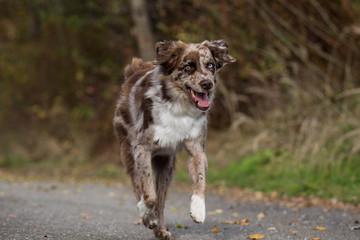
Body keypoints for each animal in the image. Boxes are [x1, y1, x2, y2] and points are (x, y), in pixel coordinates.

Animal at [114, 39, 235, 238]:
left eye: (210, 65)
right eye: (188, 66)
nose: (207, 83)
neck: (179, 106)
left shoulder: (197, 148)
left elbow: (201, 180)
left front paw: (198, 209)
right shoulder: (142, 148)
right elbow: (149, 194)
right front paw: (145, 212)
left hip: (166, 167)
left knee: (162, 200)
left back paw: (161, 229)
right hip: (128, 152)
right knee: (138, 185)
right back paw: (148, 218)